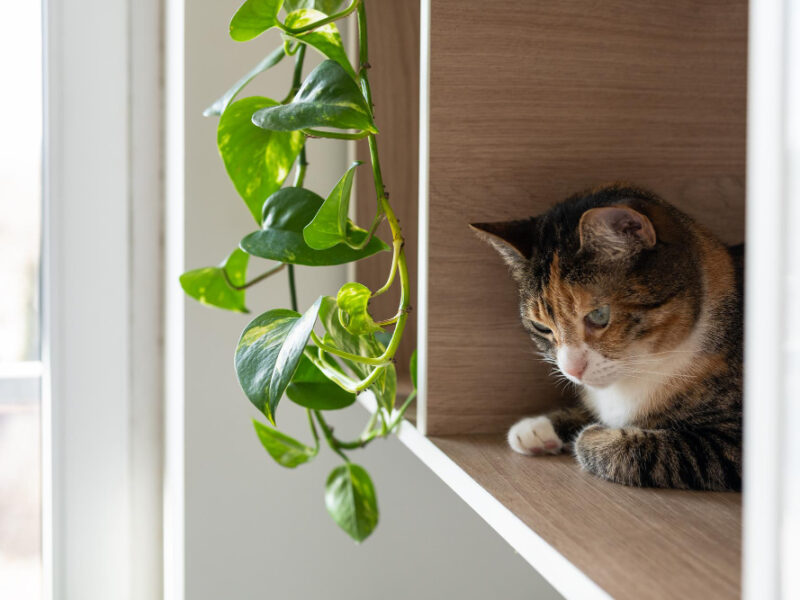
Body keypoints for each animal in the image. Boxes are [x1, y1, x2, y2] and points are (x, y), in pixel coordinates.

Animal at [468, 184, 744, 492]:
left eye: (599, 315)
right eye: (541, 327)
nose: (572, 370)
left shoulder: (732, 443)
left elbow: (645, 450)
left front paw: (592, 435)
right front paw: (538, 428)